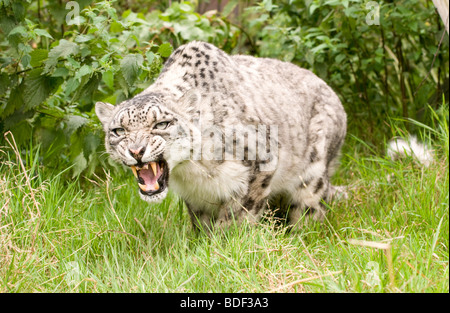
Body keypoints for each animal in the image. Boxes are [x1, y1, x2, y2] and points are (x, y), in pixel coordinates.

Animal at [96, 40, 346, 232]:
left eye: (161, 123)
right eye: (119, 130)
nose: (136, 151)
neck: (192, 170)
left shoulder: (260, 162)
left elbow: (239, 214)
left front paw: (225, 241)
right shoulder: (195, 196)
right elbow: (202, 222)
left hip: (312, 176)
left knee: (309, 208)